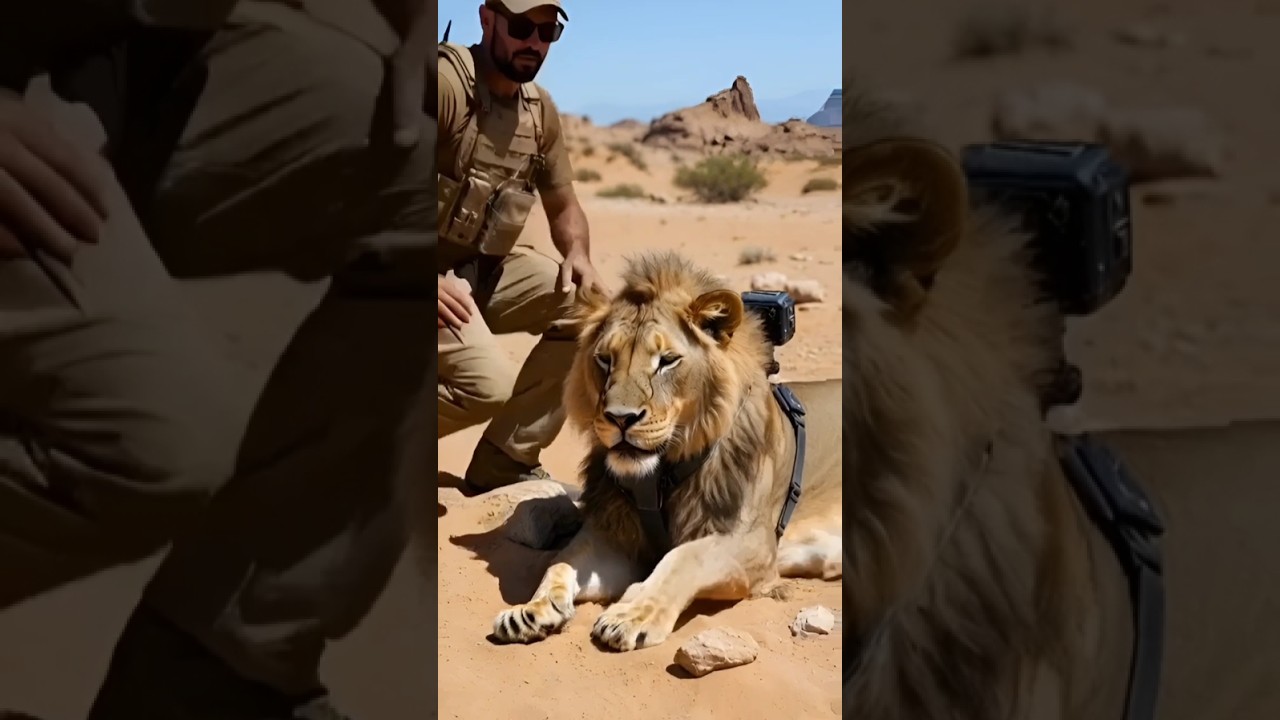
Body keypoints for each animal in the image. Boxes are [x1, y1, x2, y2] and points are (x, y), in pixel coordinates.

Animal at [488, 251, 842, 651]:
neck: (659, 476)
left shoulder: (753, 544)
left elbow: (682, 558)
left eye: (667, 360)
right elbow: (561, 562)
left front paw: (631, 615)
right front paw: (530, 611)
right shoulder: (616, 537)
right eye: (605, 359)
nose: (620, 418)